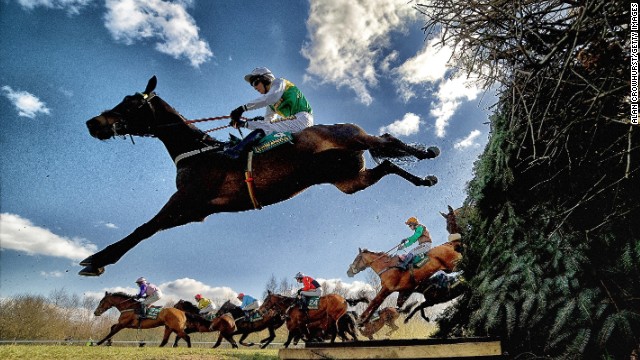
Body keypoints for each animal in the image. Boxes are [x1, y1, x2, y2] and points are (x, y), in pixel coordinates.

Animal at [79, 76, 440, 276]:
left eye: (130, 103)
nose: (93, 123)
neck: (199, 152)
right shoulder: (195, 210)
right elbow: (149, 228)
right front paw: (99, 258)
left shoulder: (187, 199)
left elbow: (143, 228)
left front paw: (97, 260)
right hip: (350, 180)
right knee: (388, 164)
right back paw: (424, 179)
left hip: (354, 141)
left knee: (386, 141)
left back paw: (428, 153)